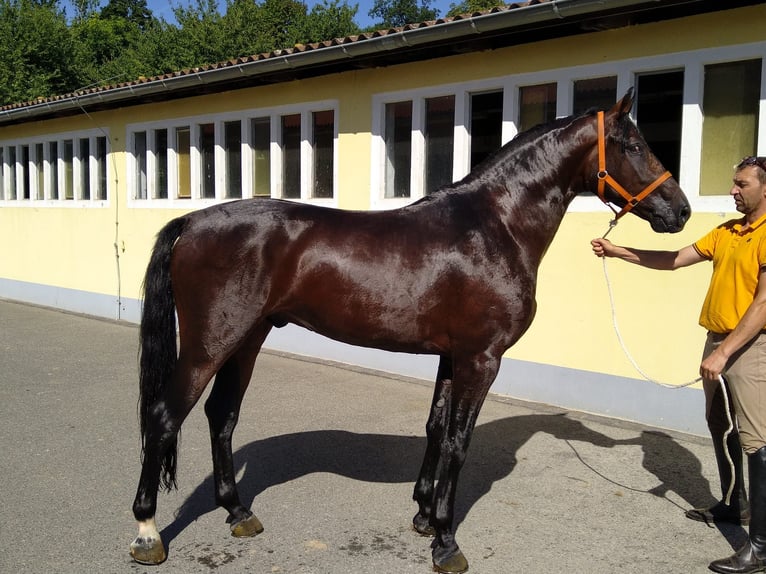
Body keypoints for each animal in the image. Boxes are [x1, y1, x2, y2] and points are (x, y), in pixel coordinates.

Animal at [129, 90, 692, 572]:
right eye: (635, 145)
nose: (681, 210)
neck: (495, 226)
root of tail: (192, 221)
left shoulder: (452, 356)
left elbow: (437, 429)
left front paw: (423, 516)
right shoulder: (481, 359)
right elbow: (459, 443)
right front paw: (446, 540)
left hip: (247, 339)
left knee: (221, 416)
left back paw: (238, 512)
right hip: (209, 344)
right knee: (163, 417)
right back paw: (147, 533)